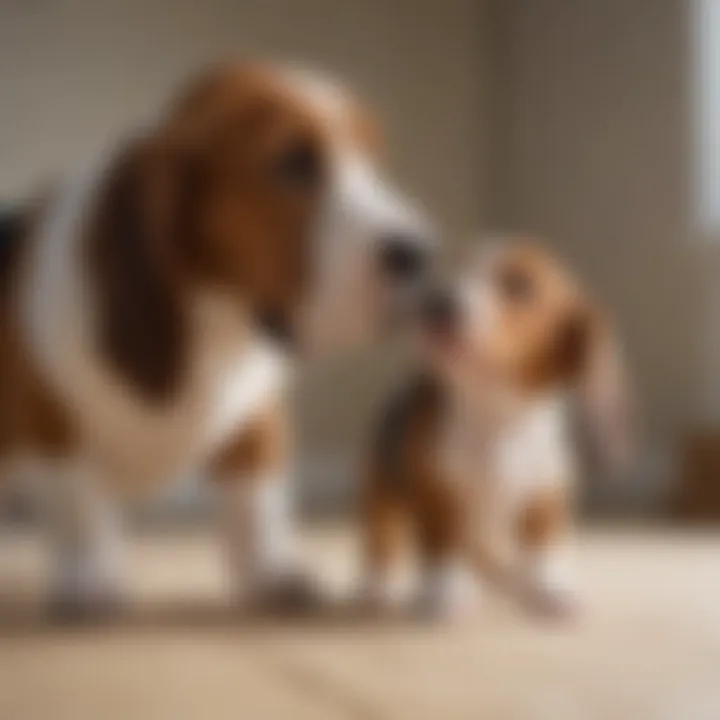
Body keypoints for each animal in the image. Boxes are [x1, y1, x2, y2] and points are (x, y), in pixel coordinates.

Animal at [362, 240, 628, 620]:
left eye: (520, 285)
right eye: (461, 268)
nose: (436, 304)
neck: (498, 415)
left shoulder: (545, 494)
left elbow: (546, 545)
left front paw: (552, 588)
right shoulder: (437, 495)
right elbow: (442, 545)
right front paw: (445, 592)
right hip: (381, 493)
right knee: (382, 541)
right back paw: (377, 590)